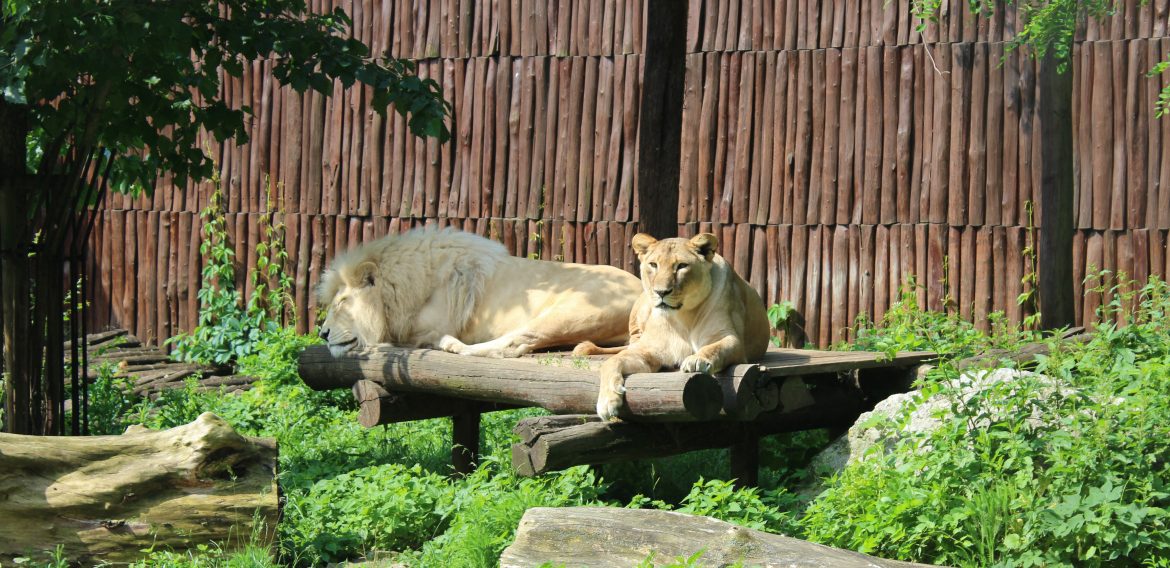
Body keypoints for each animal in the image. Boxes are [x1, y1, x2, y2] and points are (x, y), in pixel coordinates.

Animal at [318, 227, 641, 356]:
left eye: (342, 302)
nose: (322, 334)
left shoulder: (429, 325)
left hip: (572, 312)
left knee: (514, 345)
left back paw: (452, 345)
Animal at [589, 231, 772, 421]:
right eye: (653, 265)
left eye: (682, 266)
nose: (661, 292)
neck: (683, 317)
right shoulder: (651, 350)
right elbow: (611, 361)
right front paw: (606, 402)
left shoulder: (731, 339)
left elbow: (714, 348)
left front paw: (696, 360)